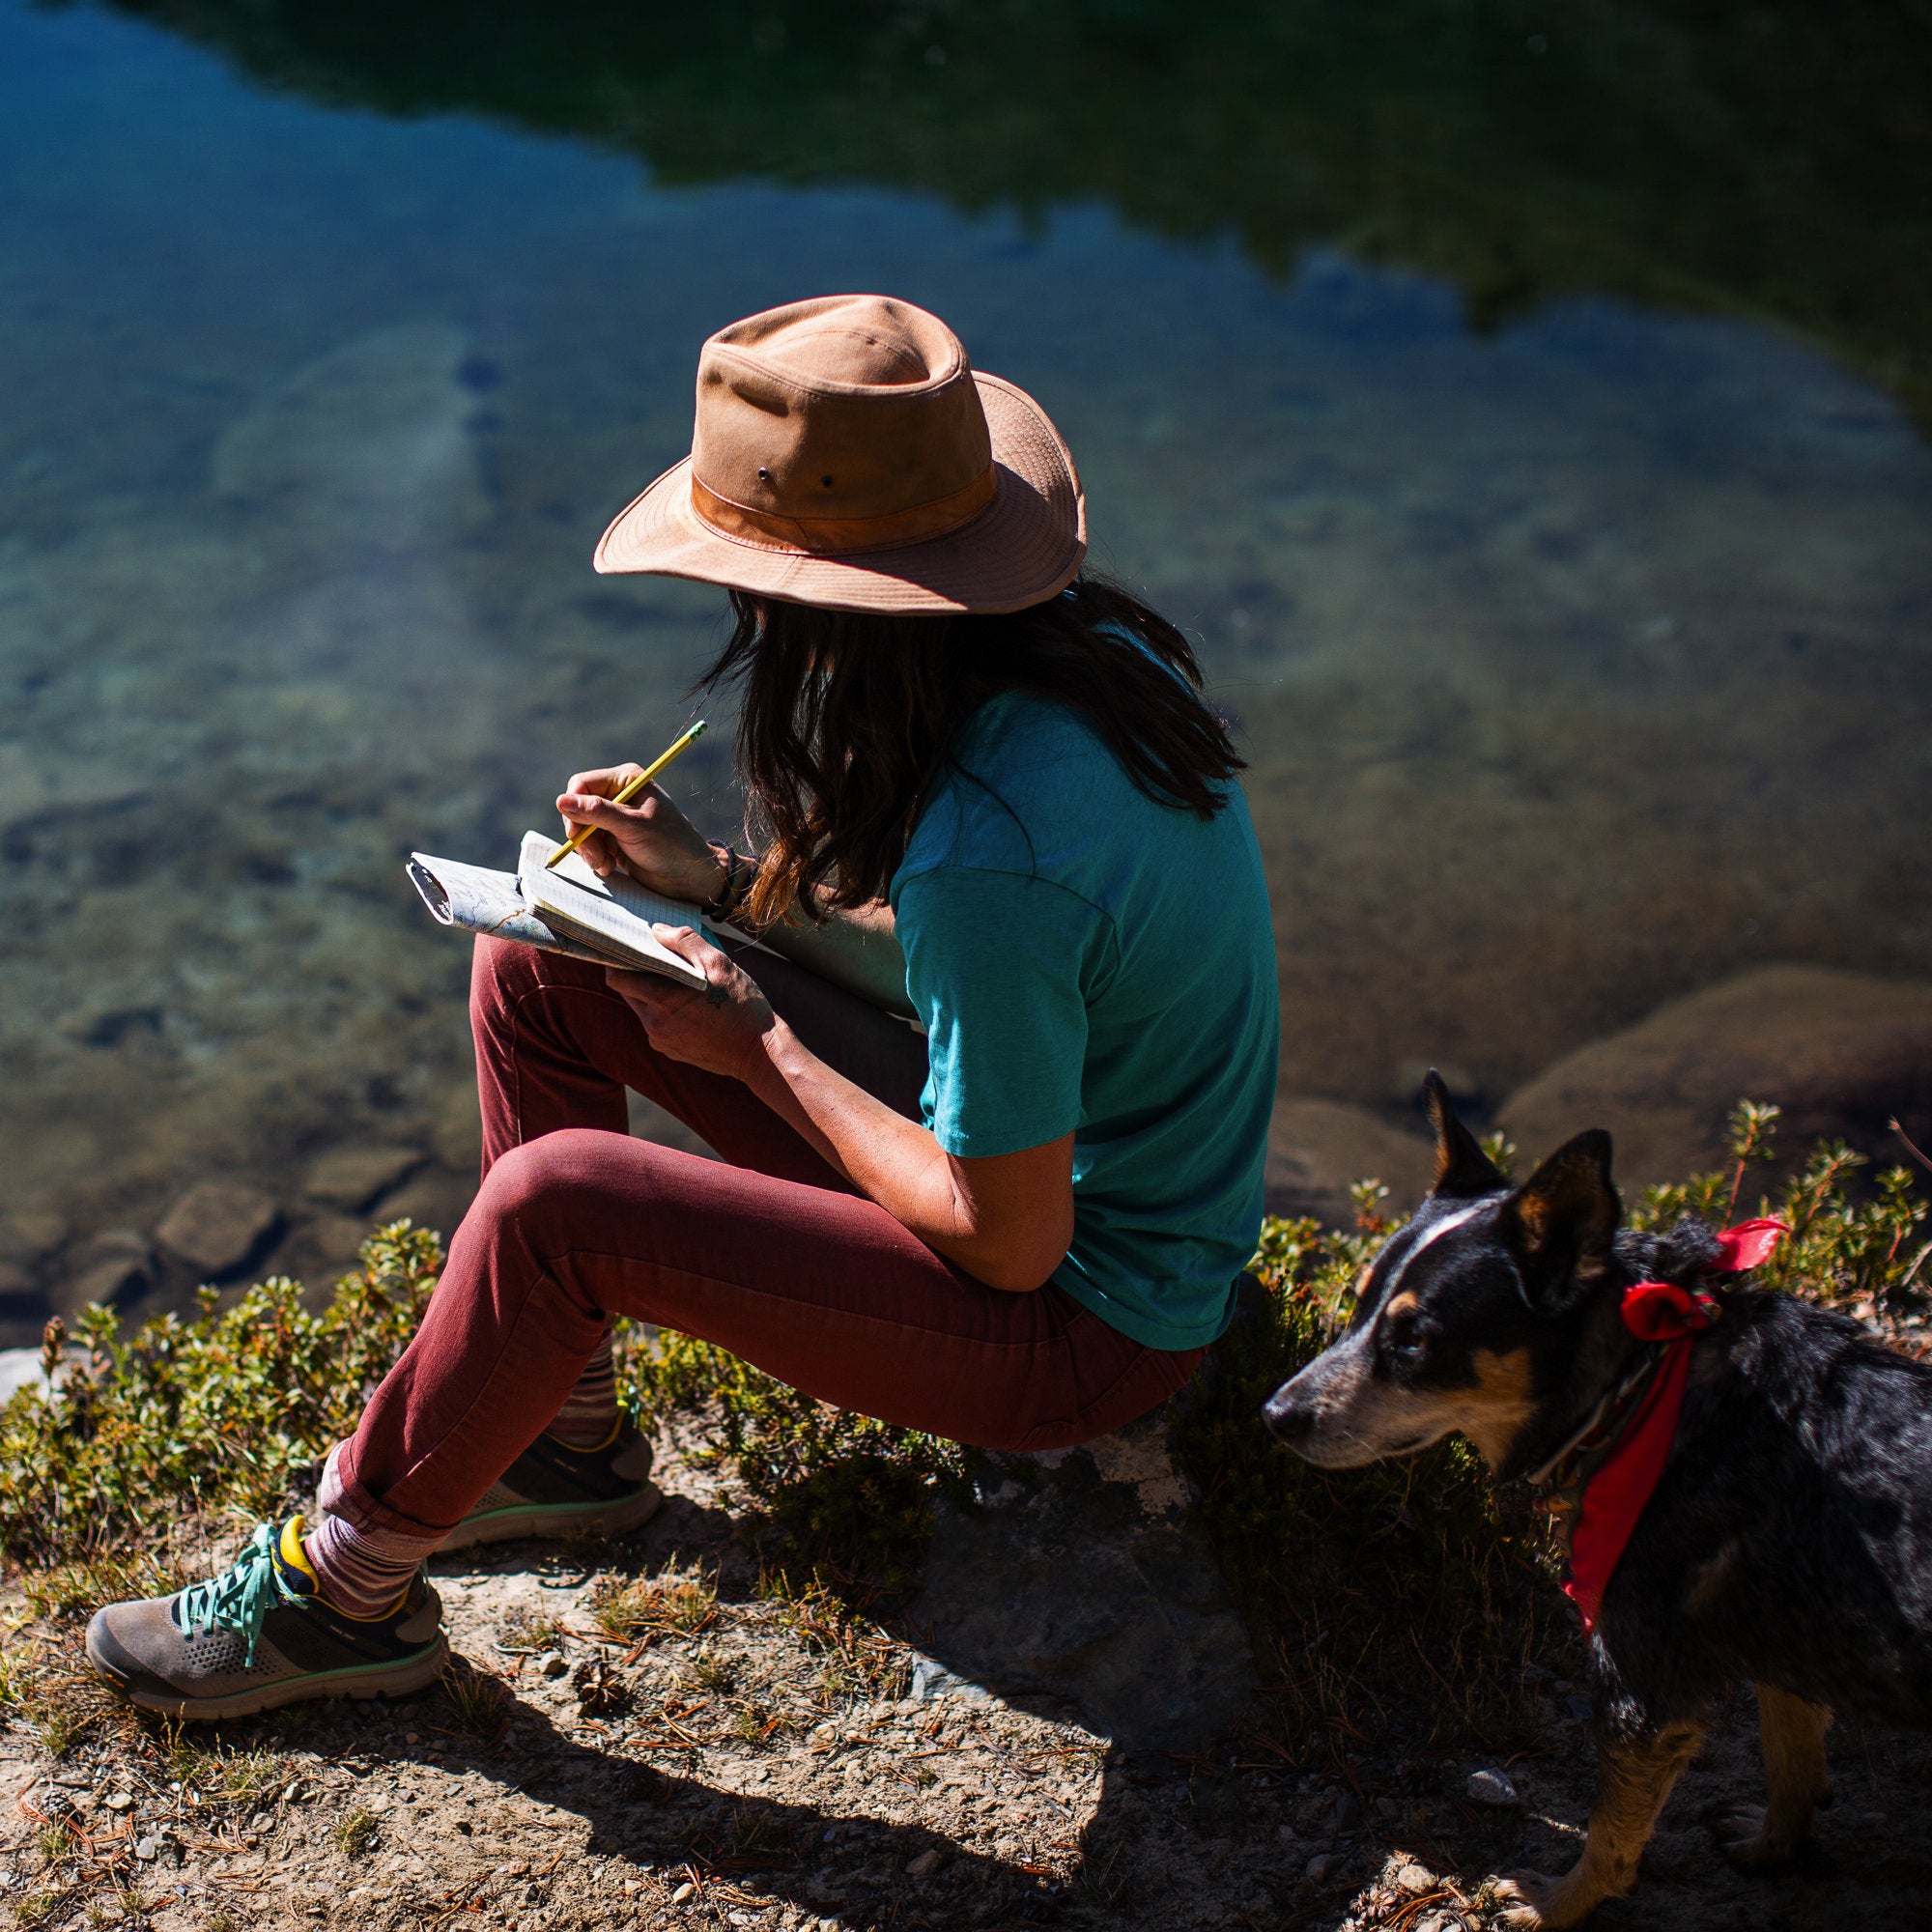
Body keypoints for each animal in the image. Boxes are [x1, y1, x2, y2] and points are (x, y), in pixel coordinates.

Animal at [1267, 1082, 1932, 1924]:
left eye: (1414, 1340)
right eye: (1354, 1309)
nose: (1276, 1414)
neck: (1642, 1388)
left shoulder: (1641, 1685)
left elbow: (1612, 1830)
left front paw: (1554, 1906)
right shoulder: (1779, 1633)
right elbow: (1791, 1755)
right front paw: (1775, 1845)